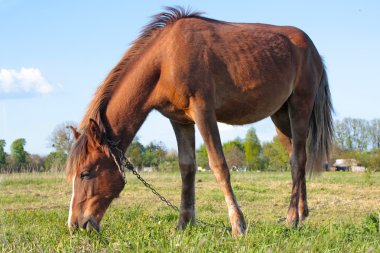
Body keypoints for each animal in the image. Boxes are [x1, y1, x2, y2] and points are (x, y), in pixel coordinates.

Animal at [65, 6, 332, 236]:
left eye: (85, 173)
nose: (75, 225)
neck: (166, 59)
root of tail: (313, 49)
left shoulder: (203, 111)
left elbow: (219, 166)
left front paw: (238, 225)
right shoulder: (180, 121)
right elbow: (187, 168)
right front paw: (183, 224)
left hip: (300, 106)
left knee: (298, 159)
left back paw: (291, 219)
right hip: (280, 117)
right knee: (296, 157)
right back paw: (301, 213)